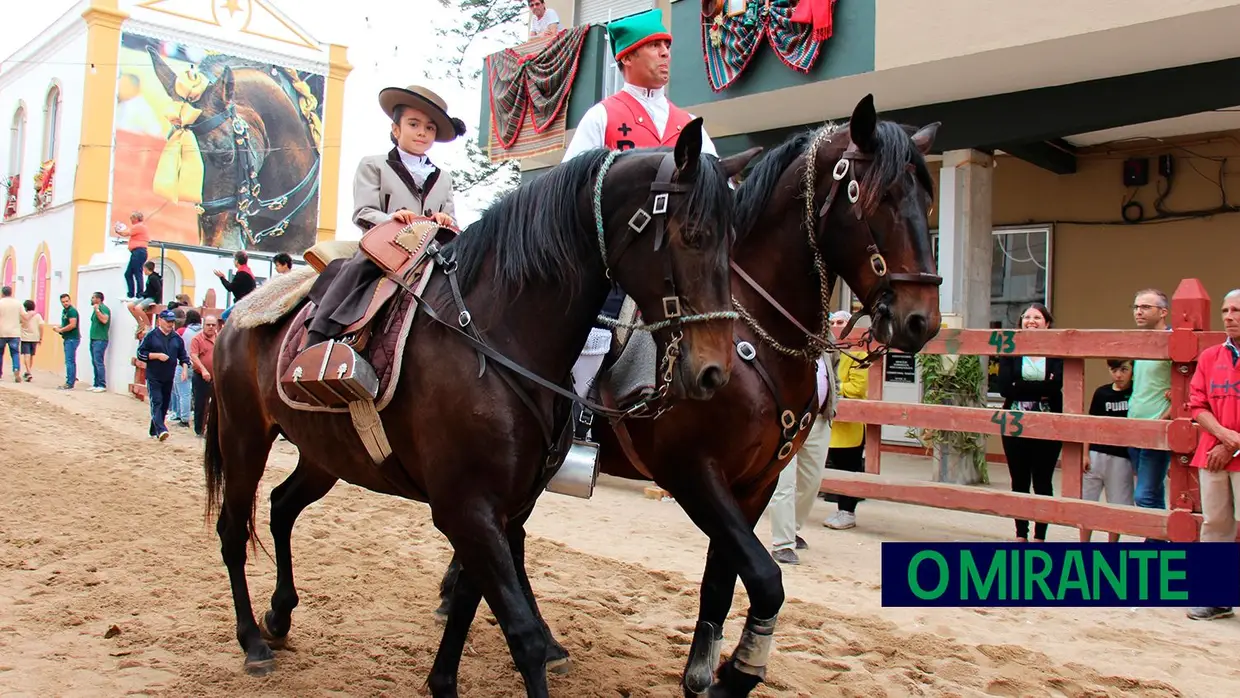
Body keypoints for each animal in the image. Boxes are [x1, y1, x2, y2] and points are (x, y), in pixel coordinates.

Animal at [202, 122, 758, 694]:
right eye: (692, 234)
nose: (714, 371)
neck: (497, 335)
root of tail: (239, 313)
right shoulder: (467, 508)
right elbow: (521, 634)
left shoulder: (500, 506)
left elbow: (470, 603)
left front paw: (443, 681)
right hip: (244, 437)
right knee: (232, 528)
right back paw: (252, 641)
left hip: (325, 455)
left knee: (281, 506)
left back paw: (279, 616)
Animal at [441, 95, 942, 694]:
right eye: (875, 196)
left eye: (927, 201)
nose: (921, 320)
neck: (752, 332)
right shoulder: (691, 473)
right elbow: (765, 577)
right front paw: (738, 673)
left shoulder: (754, 483)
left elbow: (723, 581)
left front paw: (705, 670)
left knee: (508, 538)